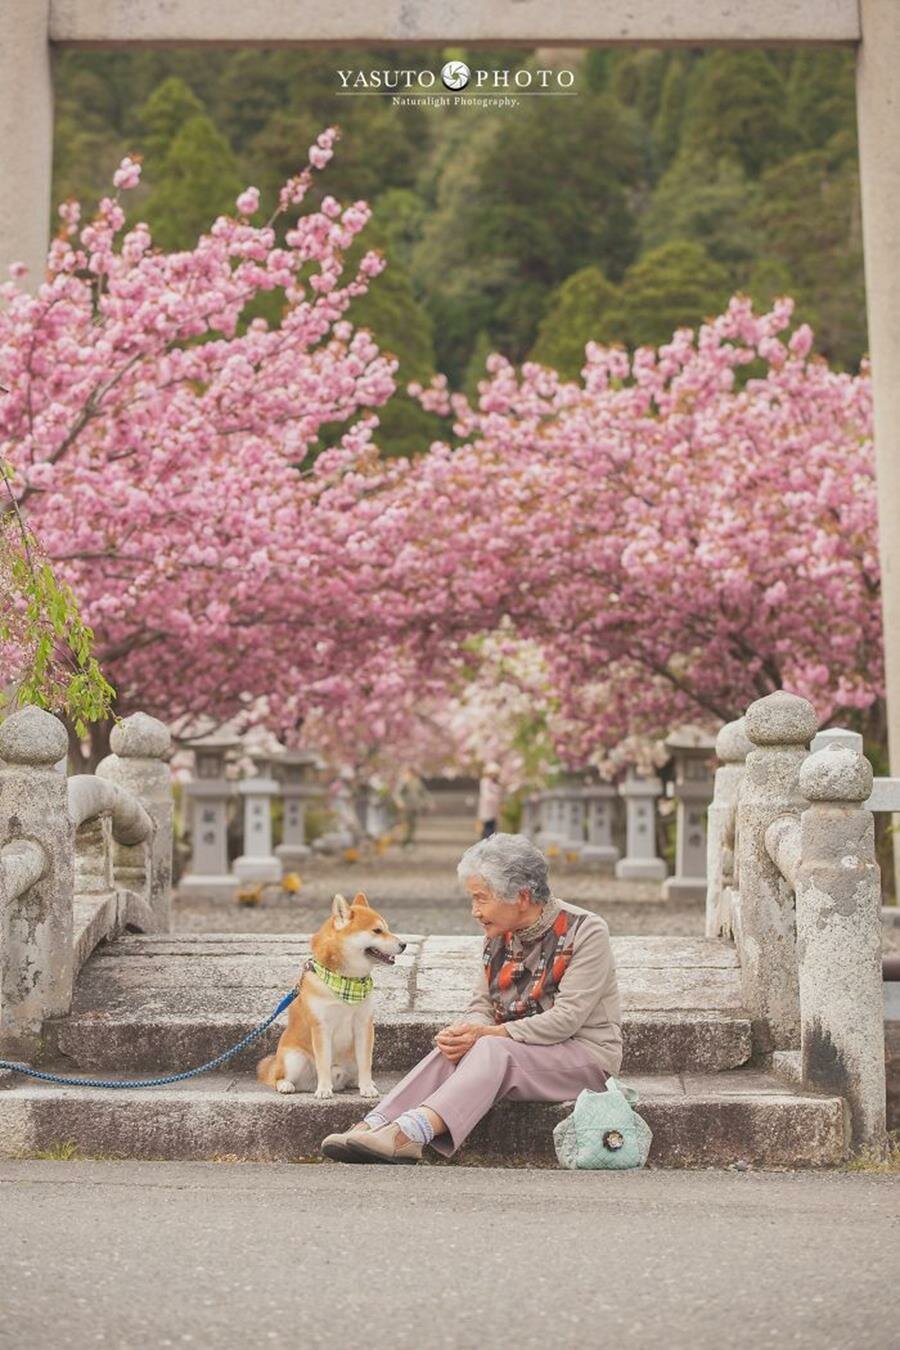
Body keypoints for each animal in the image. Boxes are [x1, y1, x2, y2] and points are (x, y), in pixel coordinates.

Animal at [256, 896, 404, 1096]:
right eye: (377, 931)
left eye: (387, 929)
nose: (404, 944)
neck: (346, 981)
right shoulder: (321, 1027)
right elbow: (323, 1062)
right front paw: (324, 1089)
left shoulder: (363, 1025)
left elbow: (366, 1063)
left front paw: (366, 1087)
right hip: (294, 1058)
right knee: (277, 1077)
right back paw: (287, 1085)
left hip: (350, 1058)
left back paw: (358, 1082)